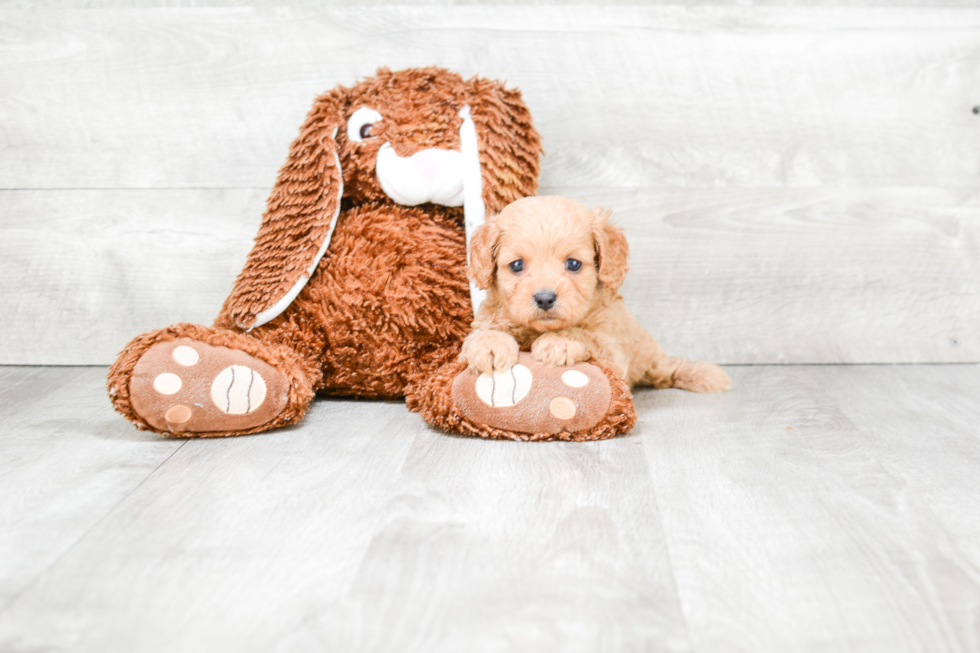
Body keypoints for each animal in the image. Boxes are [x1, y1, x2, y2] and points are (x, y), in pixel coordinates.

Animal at [458, 195, 728, 392]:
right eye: (516, 265)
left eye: (573, 264)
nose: (545, 298)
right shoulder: (484, 322)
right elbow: (481, 334)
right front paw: (490, 346)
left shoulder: (612, 355)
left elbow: (587, 336)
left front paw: (560, 342)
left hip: (649, 355)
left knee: (669, 369)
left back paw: (704, 374)